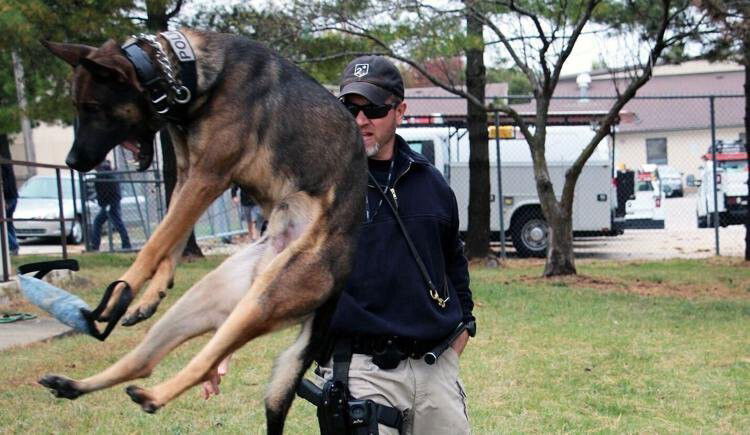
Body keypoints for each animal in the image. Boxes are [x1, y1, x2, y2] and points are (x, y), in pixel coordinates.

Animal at [42, 29, 368, 434]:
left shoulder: (208, 176)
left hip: (262, 301)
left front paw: (122, 292)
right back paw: (75, 385)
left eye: (93, 107)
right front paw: (148, 294)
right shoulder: (185, 177)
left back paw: (153, 396)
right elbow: (170, 238)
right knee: (145, 361)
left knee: (203, 363)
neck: (186, 73)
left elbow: (154, 244)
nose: (72, 162)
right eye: (77, 106)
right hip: (209, 299)